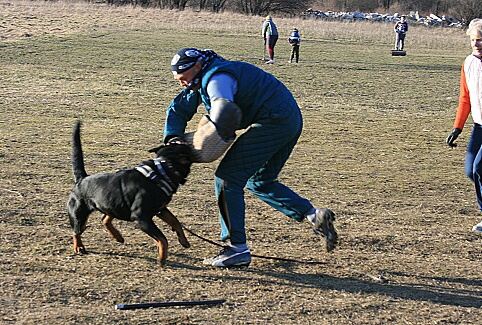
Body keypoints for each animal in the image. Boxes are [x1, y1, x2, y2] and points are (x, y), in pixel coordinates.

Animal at [66, 120, 194, 264]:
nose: (184, 138)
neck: (163, 169)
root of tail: (82, 179)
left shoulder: (161, 209)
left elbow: (175, 221)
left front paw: (183, 240)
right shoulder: (141, 216)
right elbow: (162, 238)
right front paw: (162, 258)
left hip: (115, 205)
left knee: (104, 218)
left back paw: (117, 236)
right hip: (79, 214)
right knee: (76, 231)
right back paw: (79, 247)